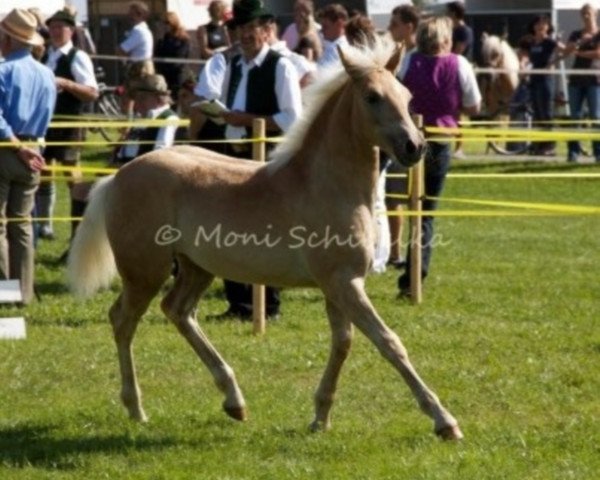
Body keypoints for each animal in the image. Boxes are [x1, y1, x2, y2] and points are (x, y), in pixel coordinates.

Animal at [69, 39, 464, 440]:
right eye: (372, 97)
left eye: (406, 95)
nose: (415, 147)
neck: (327, 185)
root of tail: (117, 178)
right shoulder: (343, 282)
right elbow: (388, 342)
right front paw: (444, 420)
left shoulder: (339, 285)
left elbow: (343, 342)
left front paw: (320, 417)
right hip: (146, 271)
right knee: (123, 320)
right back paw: (137, 408)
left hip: (196, 269)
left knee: (177, 311)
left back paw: (234, 401)